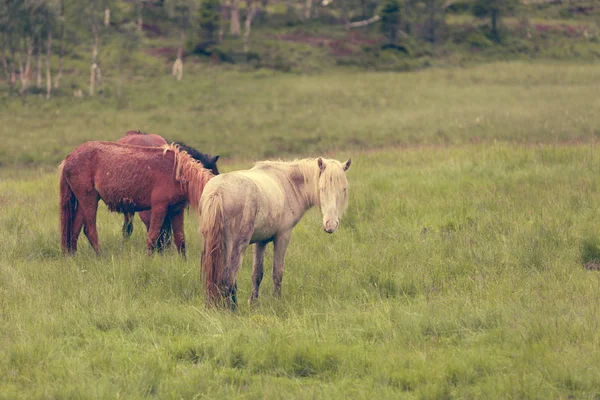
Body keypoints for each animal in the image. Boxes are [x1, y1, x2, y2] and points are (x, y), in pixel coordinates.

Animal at [58, 142, 213, 255]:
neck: (177, 172)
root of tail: (69, 158)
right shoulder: (159, 207)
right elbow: (152, 236)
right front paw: (148, 261)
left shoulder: (176, 211)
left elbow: (180, 240)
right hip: (88, 200)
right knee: (89, 230)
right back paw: (100, 256)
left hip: (84, 202)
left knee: (74, 231)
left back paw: (73, 257)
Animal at [202, 156, 352, 306]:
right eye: (322, 188)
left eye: (343, 189)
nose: (330, 225)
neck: (288, 183)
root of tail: (218, 191)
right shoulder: (283, 237)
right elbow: (277, 272)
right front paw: (277, 301)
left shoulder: (261, 242)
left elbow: (257, 274)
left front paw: (253, 303)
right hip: (236, 246)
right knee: (229, 279)